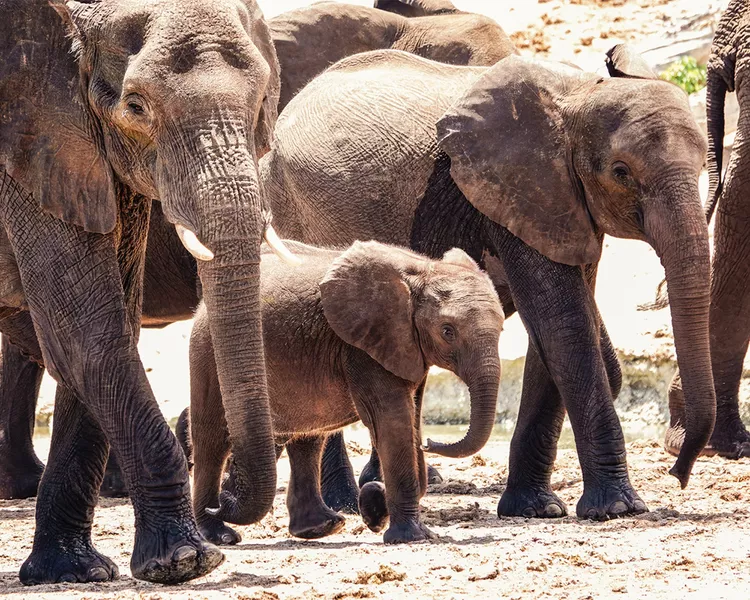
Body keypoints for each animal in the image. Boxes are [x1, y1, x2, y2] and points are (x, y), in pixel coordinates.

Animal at [0, 0, 297, 585]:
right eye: (136, 106)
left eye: (261, 102)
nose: (224, 503)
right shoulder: (27, 145)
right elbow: (84, 335)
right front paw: (185, 561)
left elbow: (109, 327)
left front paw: (72, 571)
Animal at [188, 240, 504, 545]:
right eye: (448, 331)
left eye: (501, 329)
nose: (431, 443)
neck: (424, 271)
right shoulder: (363, 347)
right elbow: (393, 421)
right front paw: (410, 537)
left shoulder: (407, 347)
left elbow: (411, 420)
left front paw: (376, 503)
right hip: (207, 354)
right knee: (212, 443)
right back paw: (219, 532)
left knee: (309, 437)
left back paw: (320, 527)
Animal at [260, 46, 716, 521]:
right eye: (621, 171)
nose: (678, 471)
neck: (579, 94)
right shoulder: (514, 189)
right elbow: (563, 322)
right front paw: (618, 508)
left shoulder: (562, 201)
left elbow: (555, 327)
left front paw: (534, 509)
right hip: (294, 209)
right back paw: (347, 503)